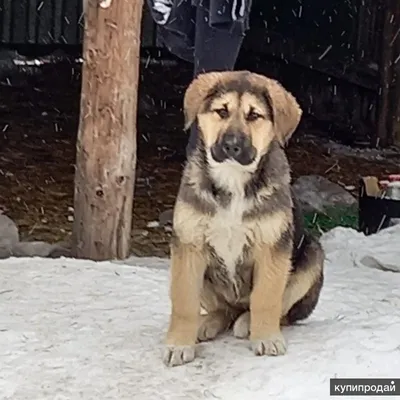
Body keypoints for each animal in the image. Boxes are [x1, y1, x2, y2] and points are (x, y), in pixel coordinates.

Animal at [162, 71, 324, 366]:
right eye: (221, 111)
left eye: (254, 116)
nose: (232, 145)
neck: (233, 180)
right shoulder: (189, 245)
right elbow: (184, 302)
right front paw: (179, 343)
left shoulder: (272, 248)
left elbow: (266, 298)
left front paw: (266, 339)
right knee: (223, 309)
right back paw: (208, 323)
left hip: (312, 257)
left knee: (280, 311)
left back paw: (248, 322)